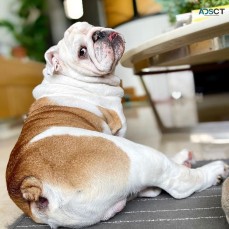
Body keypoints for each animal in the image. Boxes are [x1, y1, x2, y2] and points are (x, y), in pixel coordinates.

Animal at [5, 21, 229, 229]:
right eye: (82, 52)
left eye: (88, 25)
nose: (99, 34)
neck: (69, 79)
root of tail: (31, 183)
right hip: (137, 155)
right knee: (177, 183)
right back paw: (214, 171)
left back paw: (182, 160)